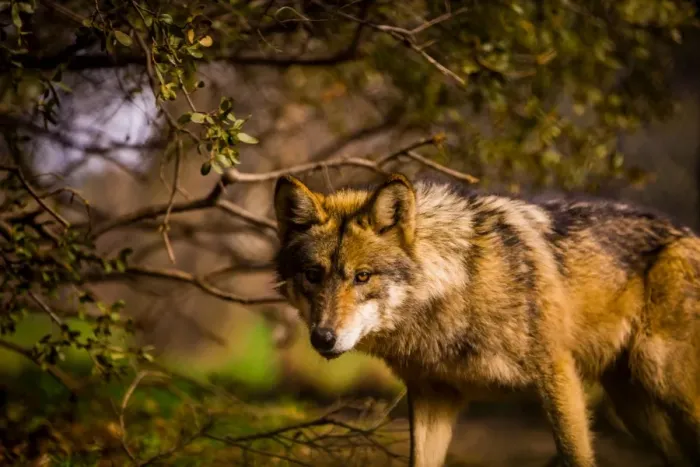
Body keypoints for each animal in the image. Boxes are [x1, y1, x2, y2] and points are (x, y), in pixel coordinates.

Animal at [272, 172, 700, 467]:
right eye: (313, 275)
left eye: (362, 277)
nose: (323, 338)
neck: (459, 284)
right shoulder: (432, 396)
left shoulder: (558, 377)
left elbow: (576, 456)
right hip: (637, 408)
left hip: (662, 379)